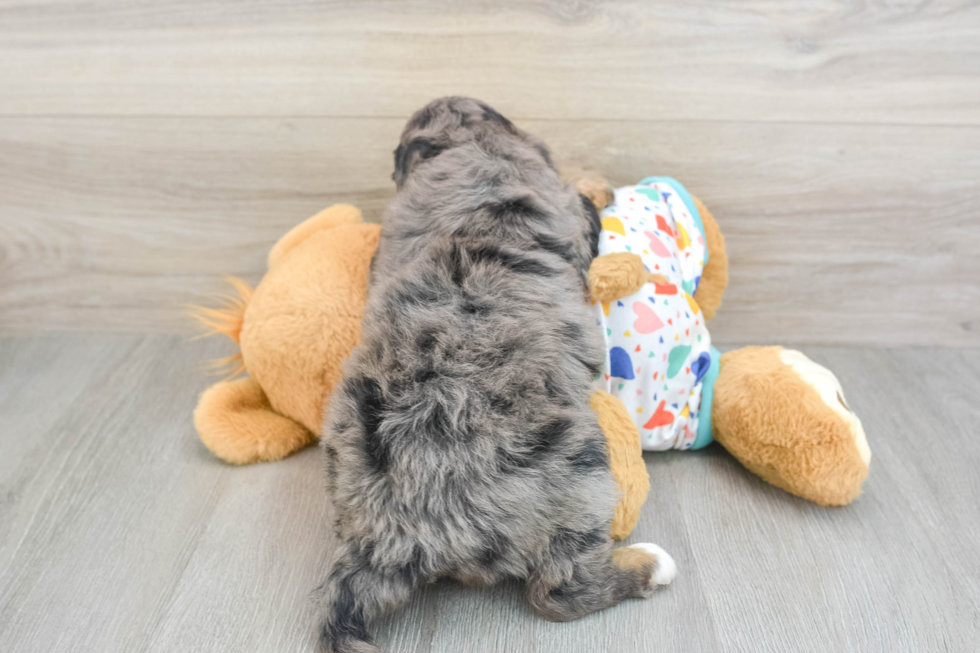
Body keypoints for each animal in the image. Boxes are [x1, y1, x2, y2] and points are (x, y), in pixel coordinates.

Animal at [314, 97, 672, 652]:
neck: (465, 143)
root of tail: (388, 537)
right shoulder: (565, 208)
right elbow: (580, 197)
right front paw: (597, 182)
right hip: (580, 470)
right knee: (558, 592)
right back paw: (648, 566)